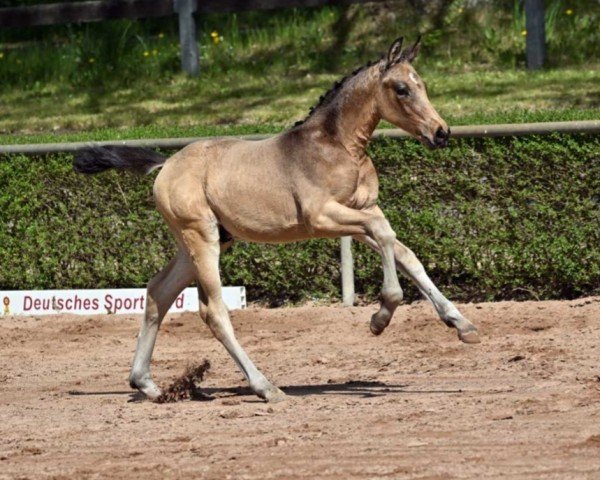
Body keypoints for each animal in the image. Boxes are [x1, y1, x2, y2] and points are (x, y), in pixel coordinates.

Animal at [74, 37, 478, 404]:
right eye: (402, 88)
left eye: (422, 85)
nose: (441, 132)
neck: (337, 146)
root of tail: (165, 165)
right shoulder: (323, 217)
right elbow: (385, 237)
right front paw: (381, 317)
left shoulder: (363, 210)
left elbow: (401, 249)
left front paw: (462, 324)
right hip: (201, 239)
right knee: (212, 311)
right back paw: (265, 387)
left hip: (206, 241)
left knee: (159, 291)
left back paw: (147, 384)